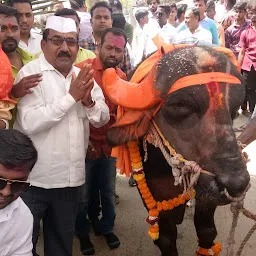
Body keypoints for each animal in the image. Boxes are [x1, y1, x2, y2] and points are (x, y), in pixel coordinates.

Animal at [102, 46, 250, 256]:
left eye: (236, 107)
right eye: (179, 106)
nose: (236, 183)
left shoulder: (205, 192)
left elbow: (207, 231)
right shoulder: (155, 193)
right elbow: (165, 238)